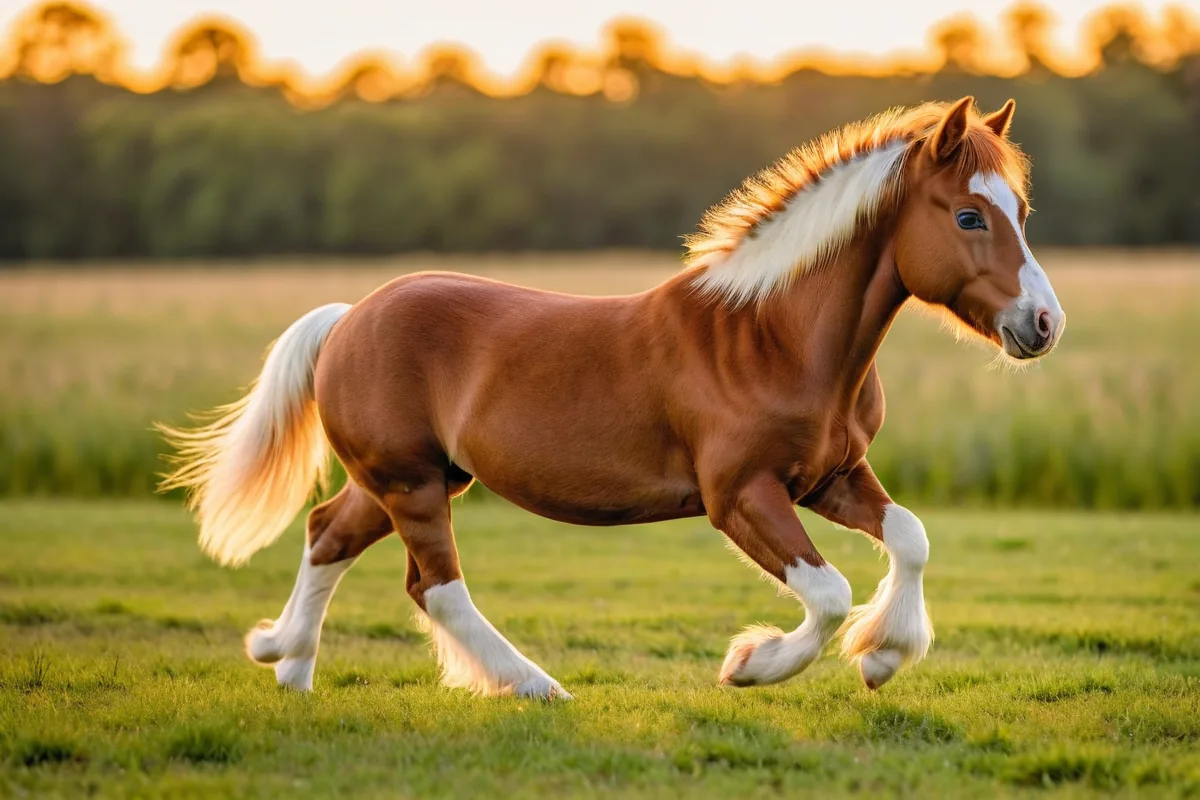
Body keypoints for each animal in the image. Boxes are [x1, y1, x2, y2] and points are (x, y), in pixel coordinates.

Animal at [159, 96, 1064, 699]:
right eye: (970, 217)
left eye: (1020, 209)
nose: (1044, 324)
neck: (774, 339)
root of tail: (350, 317)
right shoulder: (739, 493)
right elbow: (829, 591)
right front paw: (752, 664)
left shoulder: (830, 476)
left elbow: (909, 537)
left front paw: (882, 656)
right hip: (409, 481)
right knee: (436, 587)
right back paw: (534, 687)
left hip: (407, 477)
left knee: (329, 536)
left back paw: (286, 663)